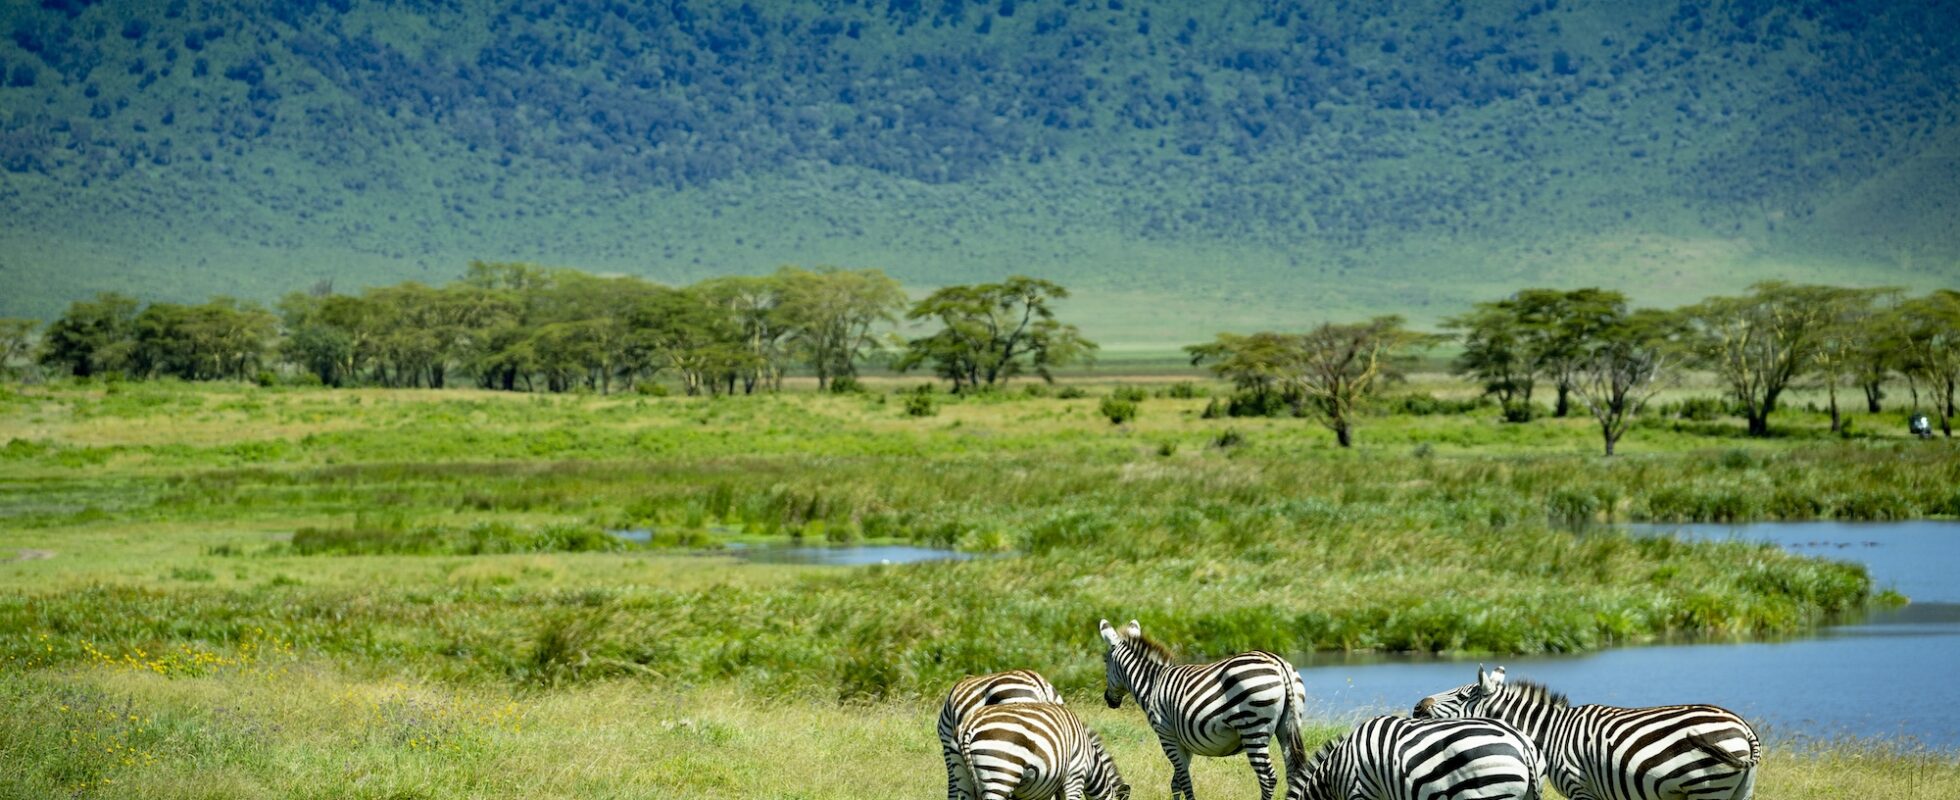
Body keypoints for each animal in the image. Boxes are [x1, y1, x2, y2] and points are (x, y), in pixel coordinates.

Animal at [1097, 619, 1309, 800]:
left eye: (1105, 662)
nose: (1108, 699)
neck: (1153, 683)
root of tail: (1278, 664)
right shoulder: (1183, 740)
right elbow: (1176, 782)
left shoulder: (1166, 735)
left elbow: (1184, 779)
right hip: (1287, 726)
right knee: (1293, 773)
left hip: (1253, 728)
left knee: (1267, 777)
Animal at [1411, 662, 1764, 800]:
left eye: (1461, 696)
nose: (1416, 707)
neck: (1551, 733)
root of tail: (1743, 728)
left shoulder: (1580, 786)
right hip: (1738, 789)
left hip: (1708, 787)